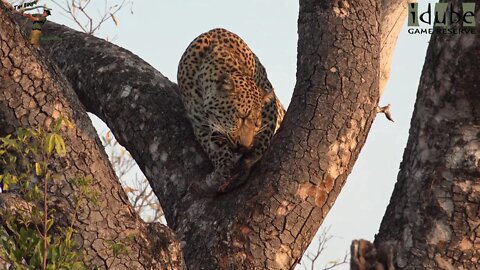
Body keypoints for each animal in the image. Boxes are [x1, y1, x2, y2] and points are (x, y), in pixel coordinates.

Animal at [177, 28, 284, 194]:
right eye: (240, 117)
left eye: (256, 123)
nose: (244, 146)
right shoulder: (199, 124)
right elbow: (211, 148)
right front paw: (223, 166)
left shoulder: (270, 105)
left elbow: (264, 138)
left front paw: (250, 159)